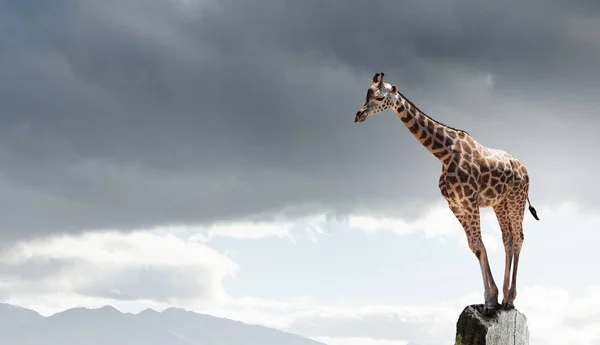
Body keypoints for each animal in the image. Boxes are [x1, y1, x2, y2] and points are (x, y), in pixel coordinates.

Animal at [354, 72, 540, 314]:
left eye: (378, 97)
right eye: (366, 94)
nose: (358, 115)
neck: (443, 152)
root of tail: (525, 170)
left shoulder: (469, 200)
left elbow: (479, 245)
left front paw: (490, 301)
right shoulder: (455, 204)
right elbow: (475, 246)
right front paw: (492, 298)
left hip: (515, 199)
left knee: (518, 237)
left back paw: (510, 300)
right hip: (500, 202)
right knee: (507, 238)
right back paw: (506, 296)